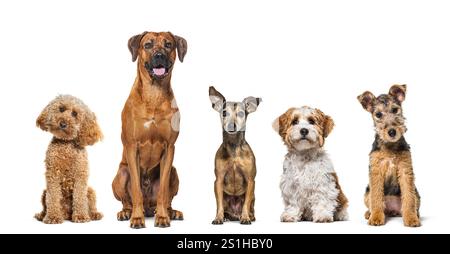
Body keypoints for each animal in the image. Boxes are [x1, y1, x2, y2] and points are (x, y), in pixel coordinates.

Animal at [34, 95, 103, 224]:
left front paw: (81, 216)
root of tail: (66, 215)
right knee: (46, 204)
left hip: (90, 190)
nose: (63, 123)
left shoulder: (80, 174)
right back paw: (42, 215)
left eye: (75, 113)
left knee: (91, 204)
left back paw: (94, 214)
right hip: (44, 193)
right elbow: (53, 197)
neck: (66, 144)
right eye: (61, 109)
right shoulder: (52, 174)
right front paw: (53, 217)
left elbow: (79, 197)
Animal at [111, 31, 187, 228]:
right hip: (121, 174)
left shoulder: (169, 147)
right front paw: (137, 218)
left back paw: (170, 212)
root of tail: (148, 207)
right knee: (127, 200)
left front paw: (162, 217)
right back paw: (127, 212)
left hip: (174, 171)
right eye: (148, 45)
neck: (154, 94)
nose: (159, 56)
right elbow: (136, 190)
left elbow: (163, 191)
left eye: (168, 44)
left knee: (167, 198)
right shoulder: (132, 146)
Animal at [209, 87, 262, 224]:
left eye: (241, 114)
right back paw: (226, 216)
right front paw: (218, 218)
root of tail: (235, 214)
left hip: (253, 196)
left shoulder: (250, 181)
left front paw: (245, 218)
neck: (234, 148)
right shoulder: (218, 181)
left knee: (250, 205)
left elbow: (246, 204)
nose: (231, 126)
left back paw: (249, 216)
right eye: (224, 113)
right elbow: (219, 204)